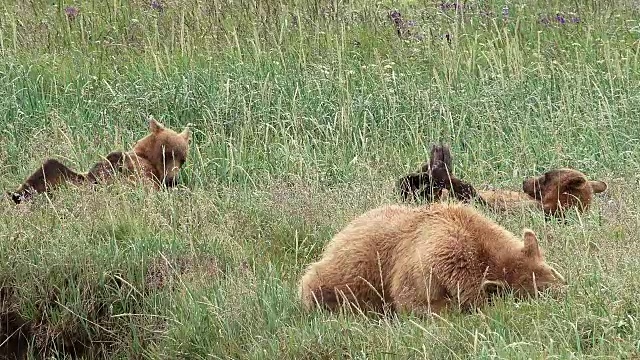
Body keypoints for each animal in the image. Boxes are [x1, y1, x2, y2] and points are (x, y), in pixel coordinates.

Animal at [300, 201, 564, 316]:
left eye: (555, 274)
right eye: (538, 291)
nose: (563, 292)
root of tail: (340, 234)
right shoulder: (427, 265)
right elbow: (415, 301)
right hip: (349, 273)